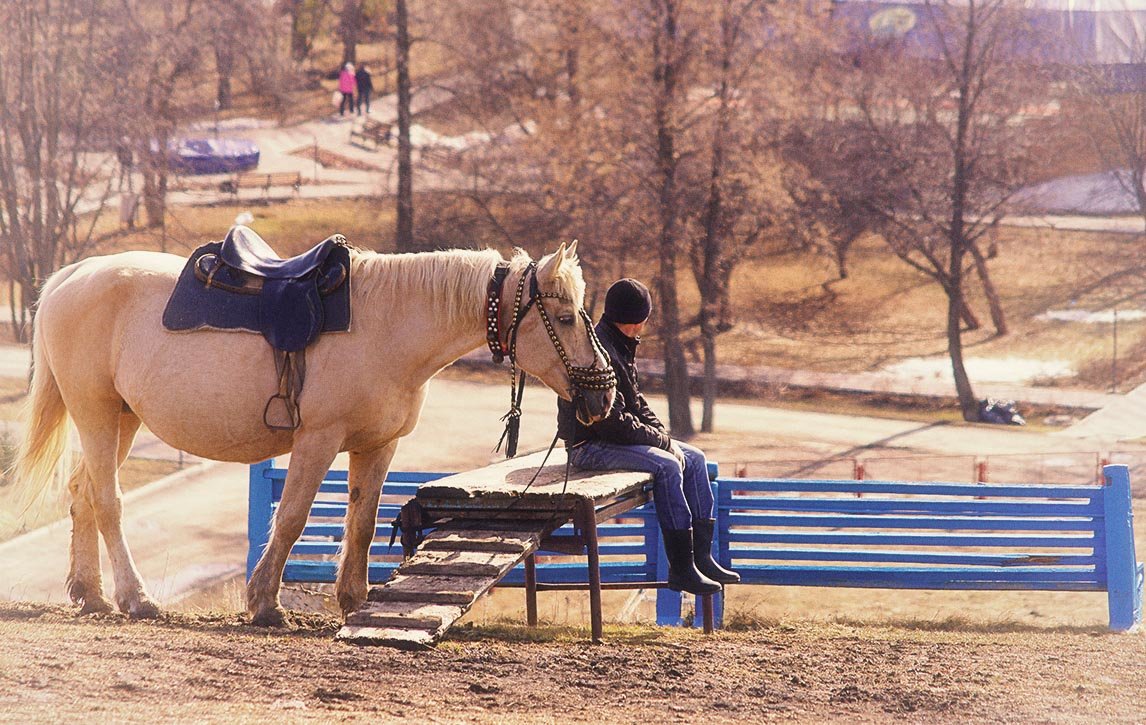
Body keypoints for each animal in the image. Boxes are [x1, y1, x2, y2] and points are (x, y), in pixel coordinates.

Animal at [13, 237, 614, 623]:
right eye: (565, 318)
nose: (603, 394)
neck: (389, 324)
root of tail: (73, 274)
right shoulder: (318, 440)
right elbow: (293, 517)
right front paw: (264, 603)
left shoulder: (378, 445)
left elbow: (362, 521)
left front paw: (354, 601)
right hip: (94, 412)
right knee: (107, 502)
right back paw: (134, 598)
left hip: (122, 418)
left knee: (83, 494)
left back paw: (89, 594)